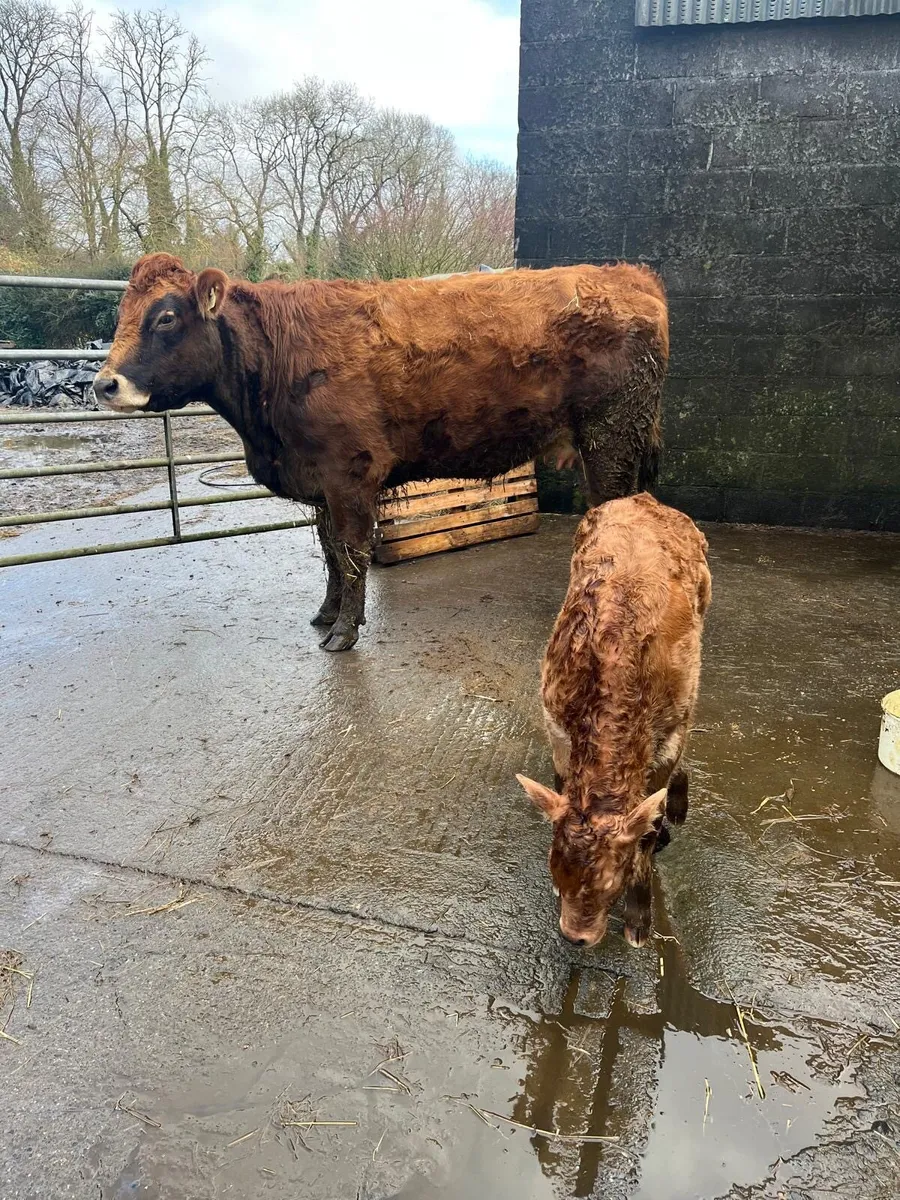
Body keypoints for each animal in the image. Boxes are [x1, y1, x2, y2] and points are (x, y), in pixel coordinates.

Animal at [94, 254, 668, 651]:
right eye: (122, 312)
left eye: (166, 318)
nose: (104, 385)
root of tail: (631, 277)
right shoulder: (321, 483)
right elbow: (329, 551)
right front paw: (326, 614)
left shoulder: (349, 474)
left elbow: (350, 554)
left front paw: (344, 632)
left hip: (611, 437)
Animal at [516, 493, 711, 950]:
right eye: (556, 872)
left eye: (611, 885)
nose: (575, 937)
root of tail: (644, 497)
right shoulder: (554, 719)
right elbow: (560, 784)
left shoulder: (671, 728)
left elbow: (649, 825)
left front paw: (639, 921)